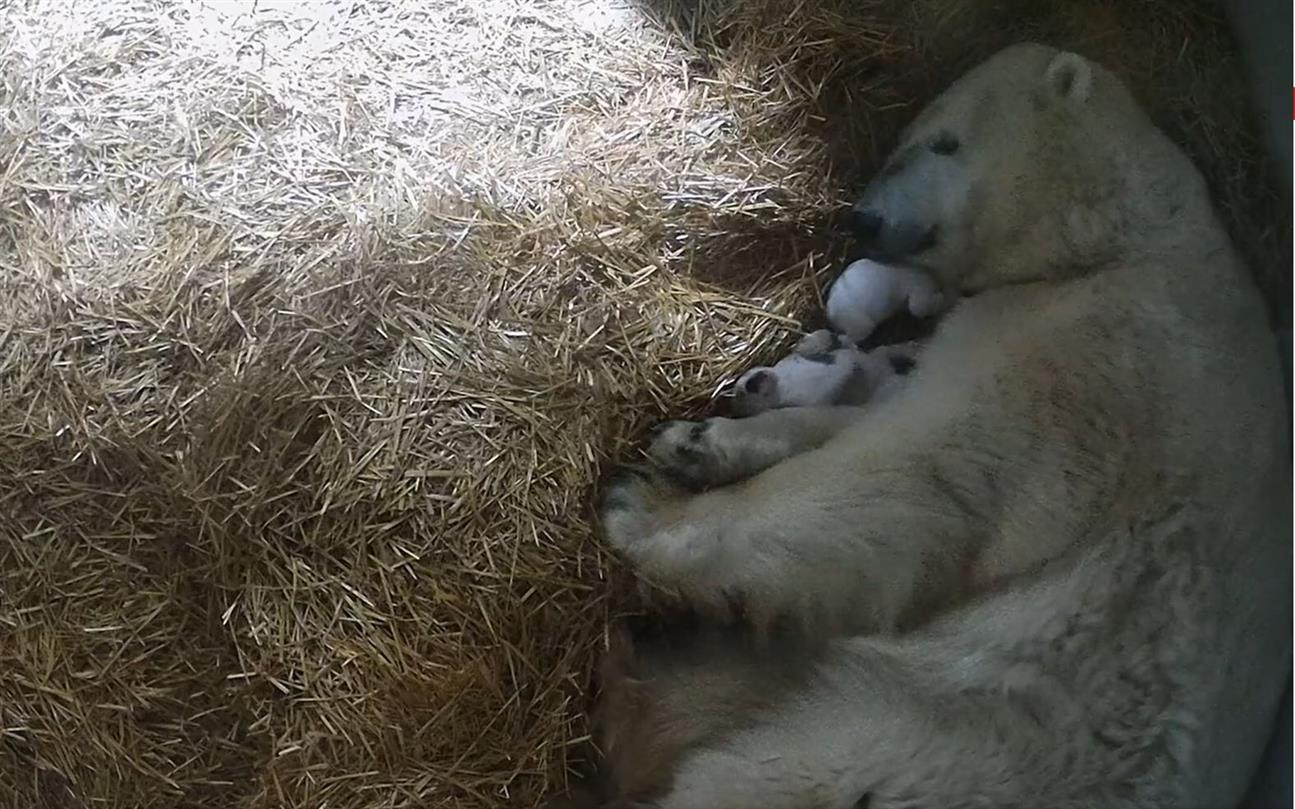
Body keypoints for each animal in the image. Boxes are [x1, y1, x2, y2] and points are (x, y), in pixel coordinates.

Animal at [593, 45, 1289, 807]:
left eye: (944, 141)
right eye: (900, 141)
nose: (862, 219)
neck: (1126, 239)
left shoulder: (1093, 359)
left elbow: (913, 476)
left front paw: (641, 505)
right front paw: (696, 444)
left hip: (944, 732)